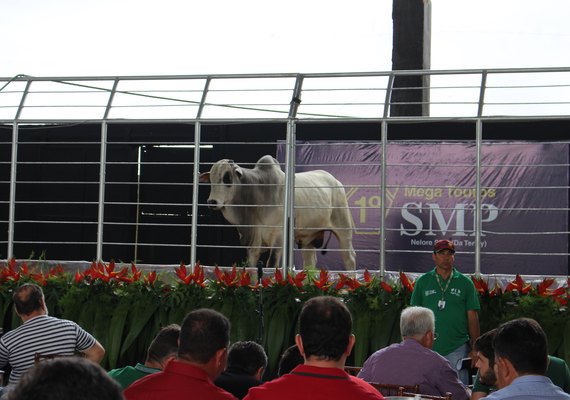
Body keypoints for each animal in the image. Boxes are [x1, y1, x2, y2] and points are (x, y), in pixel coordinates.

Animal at [197, 155, 352, 270]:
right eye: (211, 179)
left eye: (227, 178)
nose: (212, 202)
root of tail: (336, 182)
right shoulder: (253, 242)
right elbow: (251, 266)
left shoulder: (278, 237)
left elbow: (271, 264)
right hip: (308, 237)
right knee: (310, 262)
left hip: (344, 229)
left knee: (349, 257)